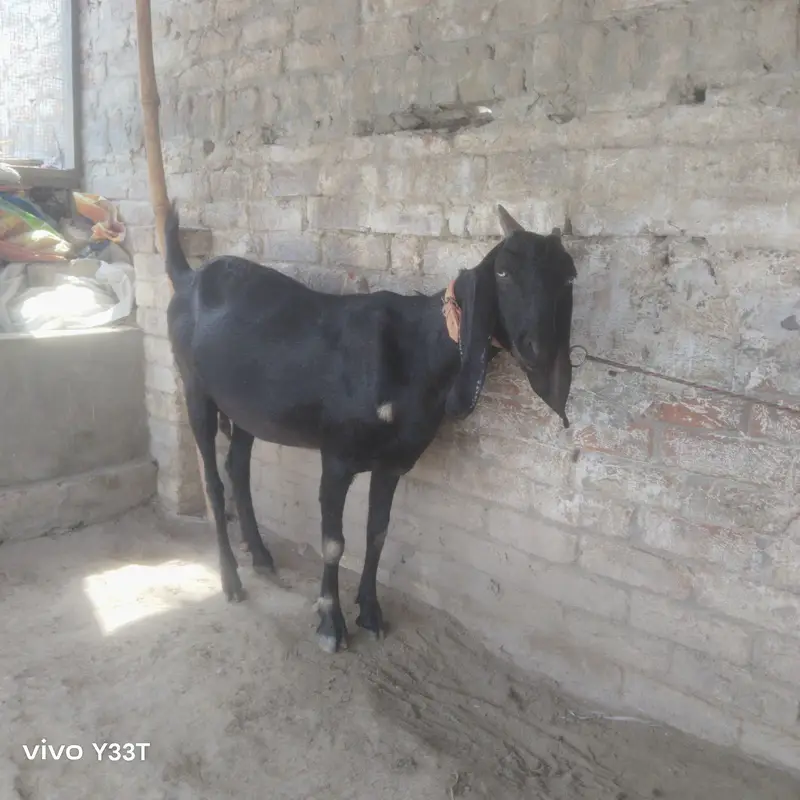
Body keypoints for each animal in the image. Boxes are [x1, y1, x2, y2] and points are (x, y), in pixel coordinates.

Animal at [163, 203, 577, 653]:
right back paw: (231, 580)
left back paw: (261, 557)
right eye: (502, 272)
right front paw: (331, 624)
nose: (537, 348)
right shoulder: (337, 457)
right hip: (194, 387)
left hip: (245, 408)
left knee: (238, 467)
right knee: (213, 481)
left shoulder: (394, 462)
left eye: (568, 277)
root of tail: (188, 278)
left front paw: (371, 612)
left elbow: (377, 533)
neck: (415, 351)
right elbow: (333, 544)